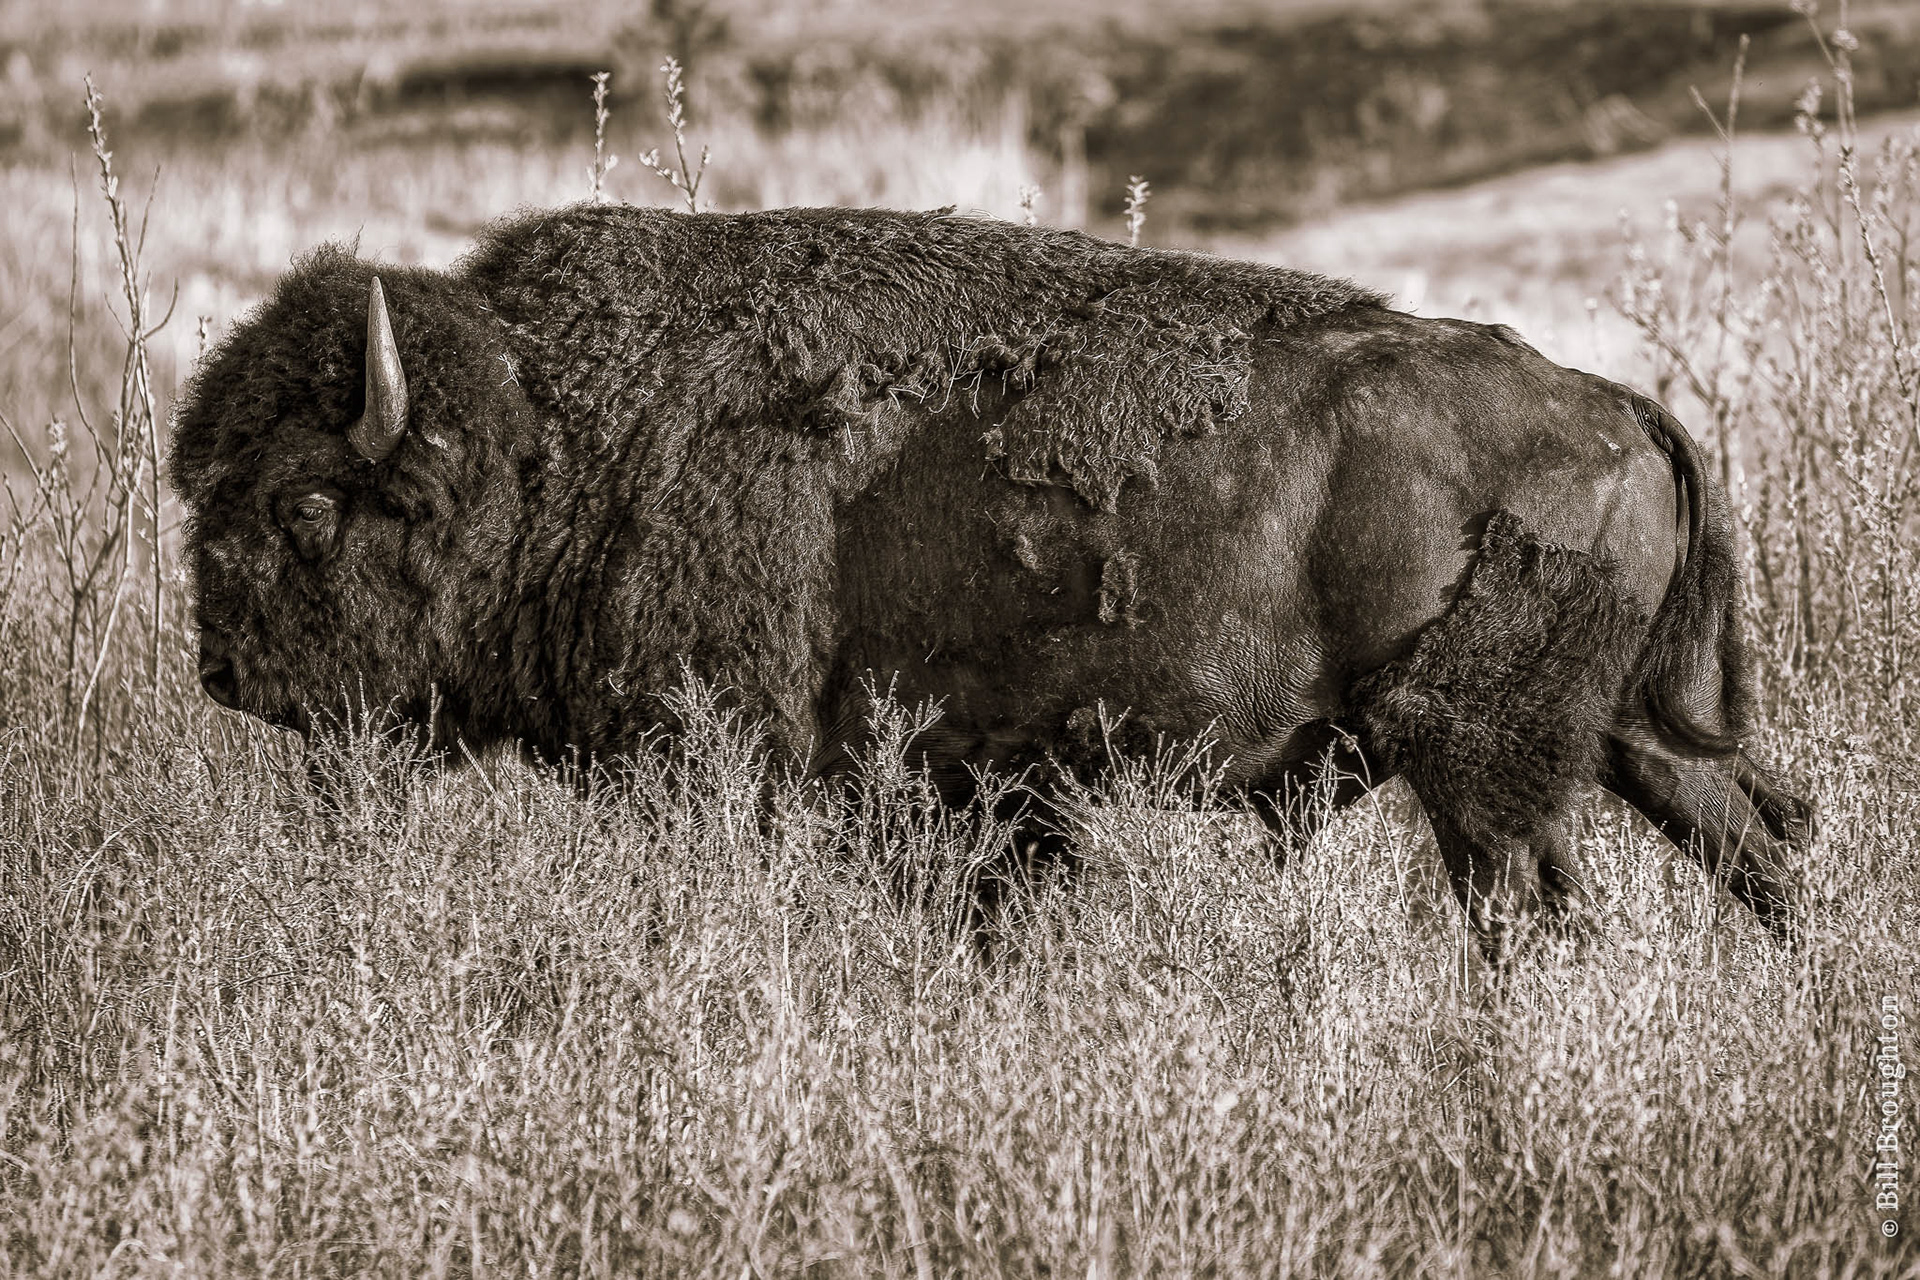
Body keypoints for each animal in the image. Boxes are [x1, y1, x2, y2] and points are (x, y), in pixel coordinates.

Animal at [171, 204, 1808, 954]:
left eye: (306, 501)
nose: (223, 672)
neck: (554, 431)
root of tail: (1621, 405)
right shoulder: (983, 800)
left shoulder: (738, 763)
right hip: (1632, 740)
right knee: (1755, 846)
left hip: (1483, 765)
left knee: (1535, 898)